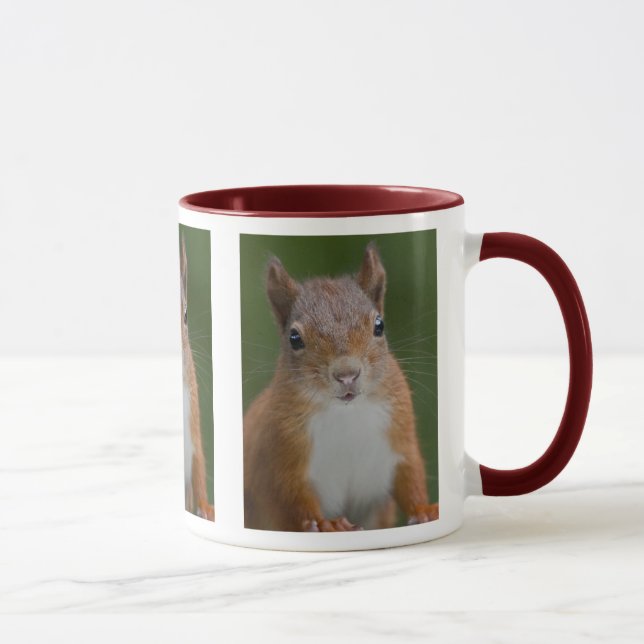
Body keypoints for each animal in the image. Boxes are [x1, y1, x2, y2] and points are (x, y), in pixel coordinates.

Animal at [243, 243, 438, 532]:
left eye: (379, 325)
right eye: (294, 338)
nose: (347, 374)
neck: (346, 413)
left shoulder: (399, 434)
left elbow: (409, 475)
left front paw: (424, 509)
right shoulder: (282, 451)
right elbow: (292, 496)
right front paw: (326, 524)